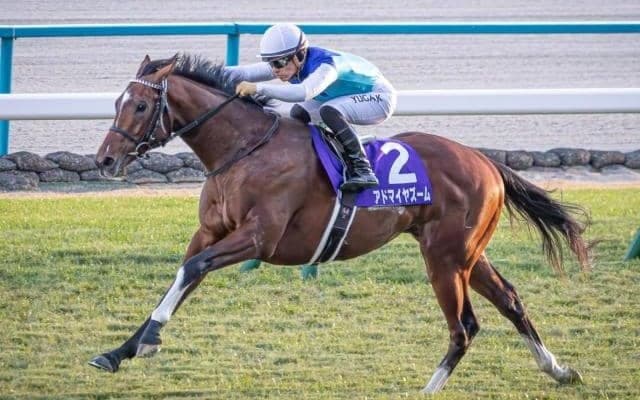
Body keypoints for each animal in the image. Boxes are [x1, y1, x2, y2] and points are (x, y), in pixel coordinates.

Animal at [89, 53, 590, 394]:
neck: (245, 149)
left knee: (464, 325)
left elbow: (191, 271)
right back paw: (558, 369)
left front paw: (150, 340)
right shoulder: (210, 233)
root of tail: (485, 160)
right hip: (466, 254)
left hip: (445, 259)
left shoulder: (258, 239)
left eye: (139, 106)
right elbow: (181, 276)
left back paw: (429, 390)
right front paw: (120, 351)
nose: (104, 160)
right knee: (510, 300)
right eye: (117, 101)